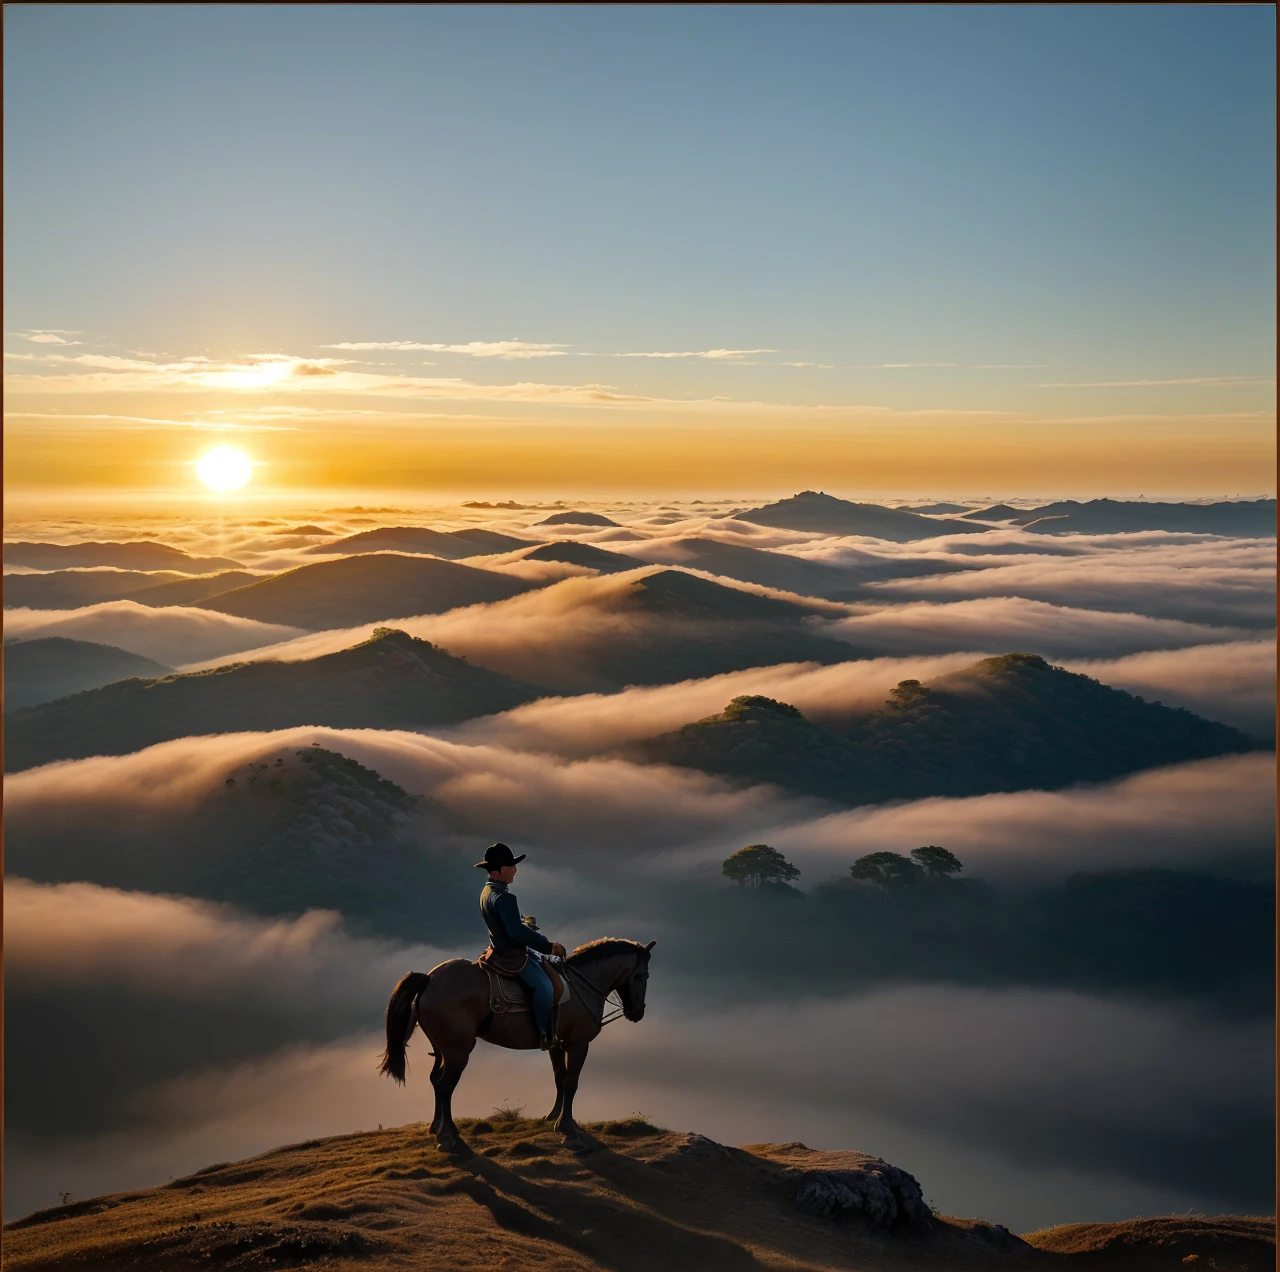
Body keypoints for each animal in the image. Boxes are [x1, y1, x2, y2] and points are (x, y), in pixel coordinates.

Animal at [376, 931, 660, 1151]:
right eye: (641, 976)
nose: (638, 1012)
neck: (581, 984)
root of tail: (429, 978)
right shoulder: (578, 1044)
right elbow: (571, 1083)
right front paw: (567, 1129)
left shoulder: (555, 1044)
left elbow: (559, 1078)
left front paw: (554, 1117)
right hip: (458, 1051)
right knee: (445, 1086)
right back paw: (449, 1137)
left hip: (441, 1048)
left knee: (435, 1080)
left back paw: (437, 1128)